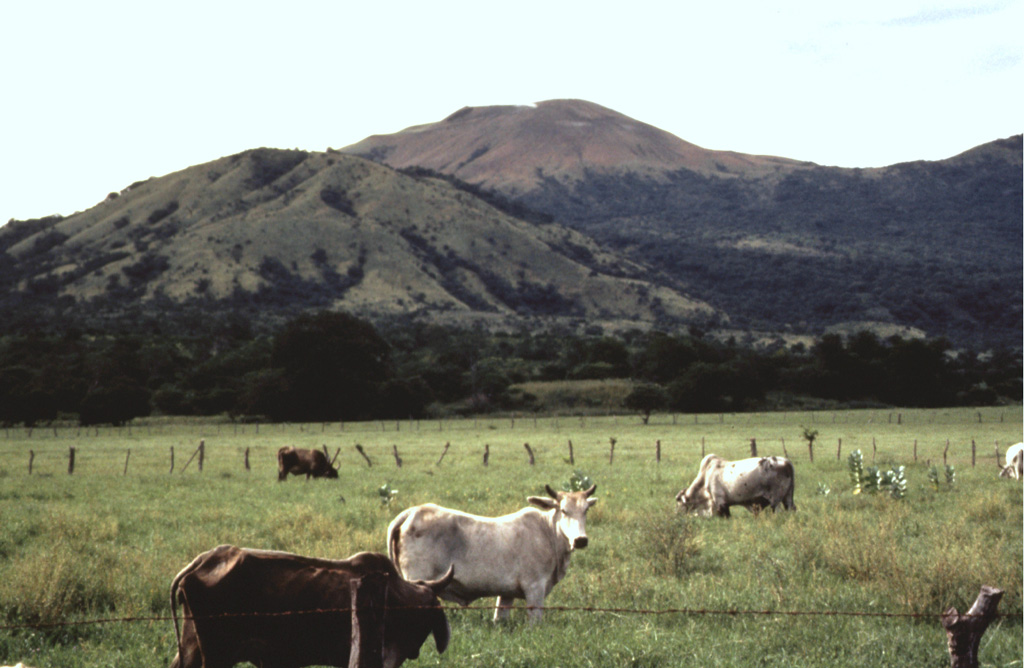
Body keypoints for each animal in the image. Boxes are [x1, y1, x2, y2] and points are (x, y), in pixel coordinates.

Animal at [385, 483, 598, 622]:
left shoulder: (506, 594)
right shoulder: (535, 588)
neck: (547, 532)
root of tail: (414, 511)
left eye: (586, 510)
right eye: (563, 510)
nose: (581, 540)